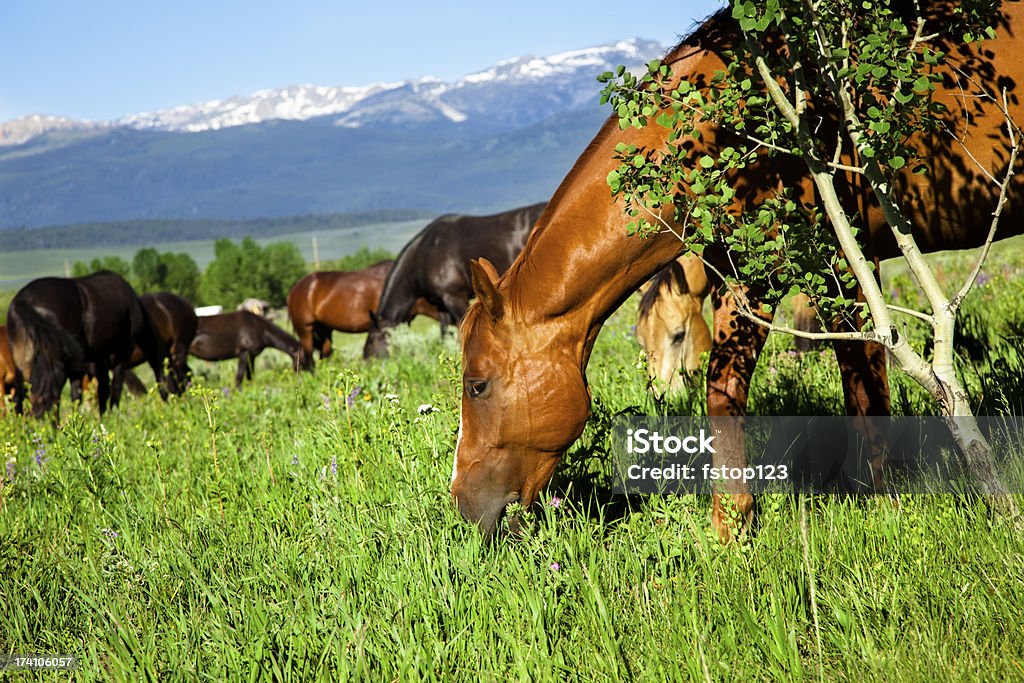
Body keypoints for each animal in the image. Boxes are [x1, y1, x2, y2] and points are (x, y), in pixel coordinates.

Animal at [6, 270, 165, 417]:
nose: (169, 401)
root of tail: (23, 303)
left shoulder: (88, 364)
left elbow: (81, 395)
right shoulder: (121, 354)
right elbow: (113, 388)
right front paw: (111, 416)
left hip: (23, 363)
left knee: (24, 398)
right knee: (48, 396)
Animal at [364, 202, 548, 360]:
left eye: (372, 339)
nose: (366, 360)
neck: (425, 253)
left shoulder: (454, 297)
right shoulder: (442, 306)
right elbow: (445, 334)